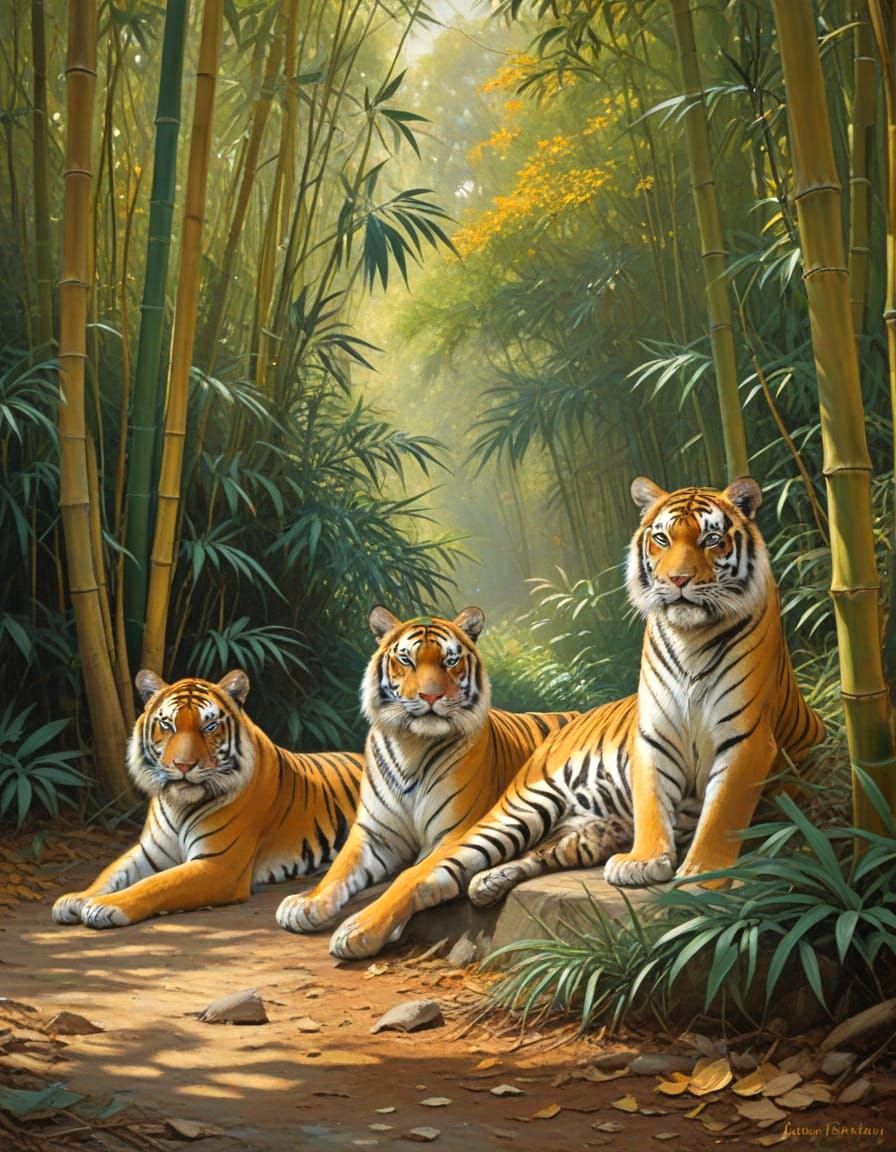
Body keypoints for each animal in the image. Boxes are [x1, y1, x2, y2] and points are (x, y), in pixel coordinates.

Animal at [52, 669, 363, 929]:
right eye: (167, 725)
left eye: (210, 727)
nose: (183, 765)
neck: (177, 805)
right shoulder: (149, 851)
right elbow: (110, 873)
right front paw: (77, 898)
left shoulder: (218, 865)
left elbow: (156, 884)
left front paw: (106, 906)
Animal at [275, 606, 578, 959]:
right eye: (407, 660)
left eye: (450, 661)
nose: (431, 695)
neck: (412, 745)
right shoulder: (376, 833)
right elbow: (340, 868)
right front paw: (305, 903)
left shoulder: (452, 834)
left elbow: (409, 876)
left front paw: (361, 929)